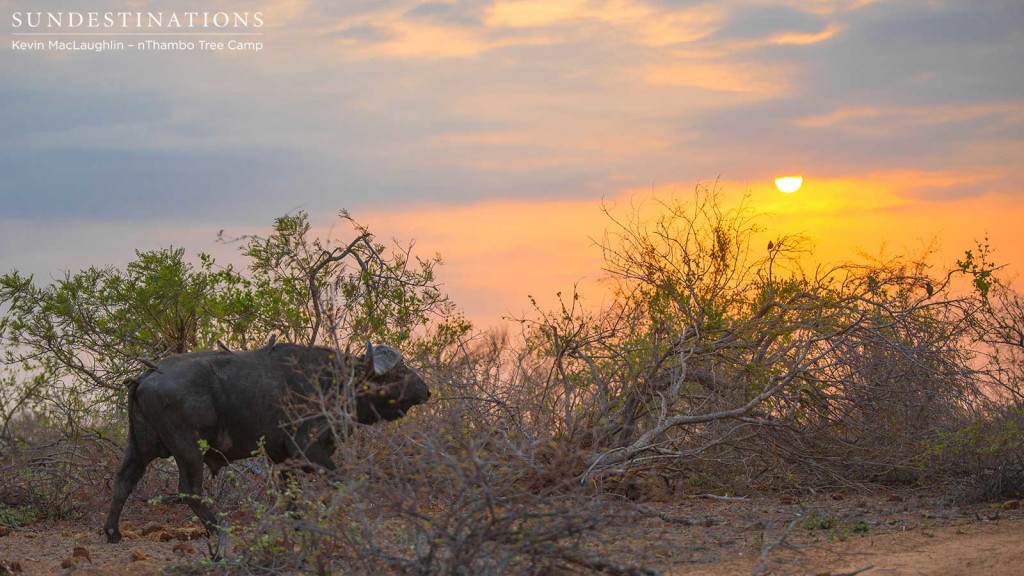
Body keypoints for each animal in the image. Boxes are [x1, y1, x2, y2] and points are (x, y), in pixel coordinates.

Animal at [100, 340, 428, 557]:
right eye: (399, 373)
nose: (426, 389)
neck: (331, 381)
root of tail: (149, 373)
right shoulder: (307, 452)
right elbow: (342, 483)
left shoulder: (281, 458)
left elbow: (291, 497)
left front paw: (300, 530)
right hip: (188, 451)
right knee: (189, 490)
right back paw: (221, 532)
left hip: (141, 447)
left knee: (124, 480)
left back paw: (112, 532)